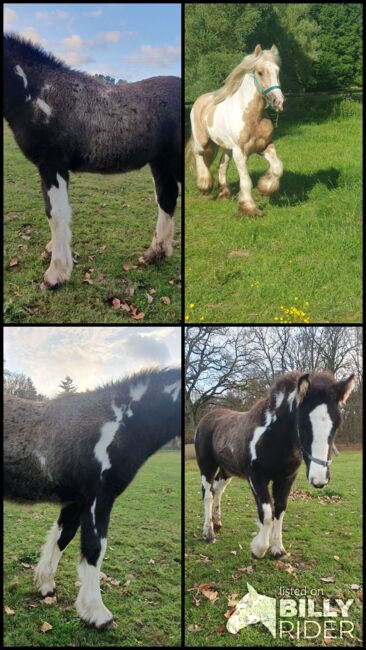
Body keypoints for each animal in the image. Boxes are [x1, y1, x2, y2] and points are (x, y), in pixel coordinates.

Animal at [3, 370, 180, 628]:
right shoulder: (98, 499)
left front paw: (46, 586)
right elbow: (95, 548)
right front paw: (97, 614)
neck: (118, 423)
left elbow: (63, 537)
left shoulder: (75, 502)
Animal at [4, 33, 182, 286]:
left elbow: (56, 213)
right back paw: (156, 253)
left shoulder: (52, 165)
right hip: (160, 161)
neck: (39, 93)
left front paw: (56, 273)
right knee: (167, 197)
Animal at [187, 46, 284, 218]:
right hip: (202, 141)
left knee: (221, 165)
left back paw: (224, 193)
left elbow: (278, 167)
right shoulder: (240, 153)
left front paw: (266, 188)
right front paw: (249, 208)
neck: (253, 117)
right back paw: (205, 185)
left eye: (278, 71)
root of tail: (200, 100)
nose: (278, 102)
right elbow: (246, 181)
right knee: (200, 156)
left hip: (226, 147)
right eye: (260, 72)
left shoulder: (265, 147)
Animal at [194, 370, 354, 556]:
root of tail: (207, 418)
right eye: (302, 425)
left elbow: (280, 509)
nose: (319, 479)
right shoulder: (256, 477)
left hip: (227, 470)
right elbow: (266, 511)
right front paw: (258, 549)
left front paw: (278, 549)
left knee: (217, 490)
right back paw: (208, 532)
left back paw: (217, 523)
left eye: (336, 425)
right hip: (207, 467)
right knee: (208, 494)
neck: (272, 438)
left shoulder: (286, 478)